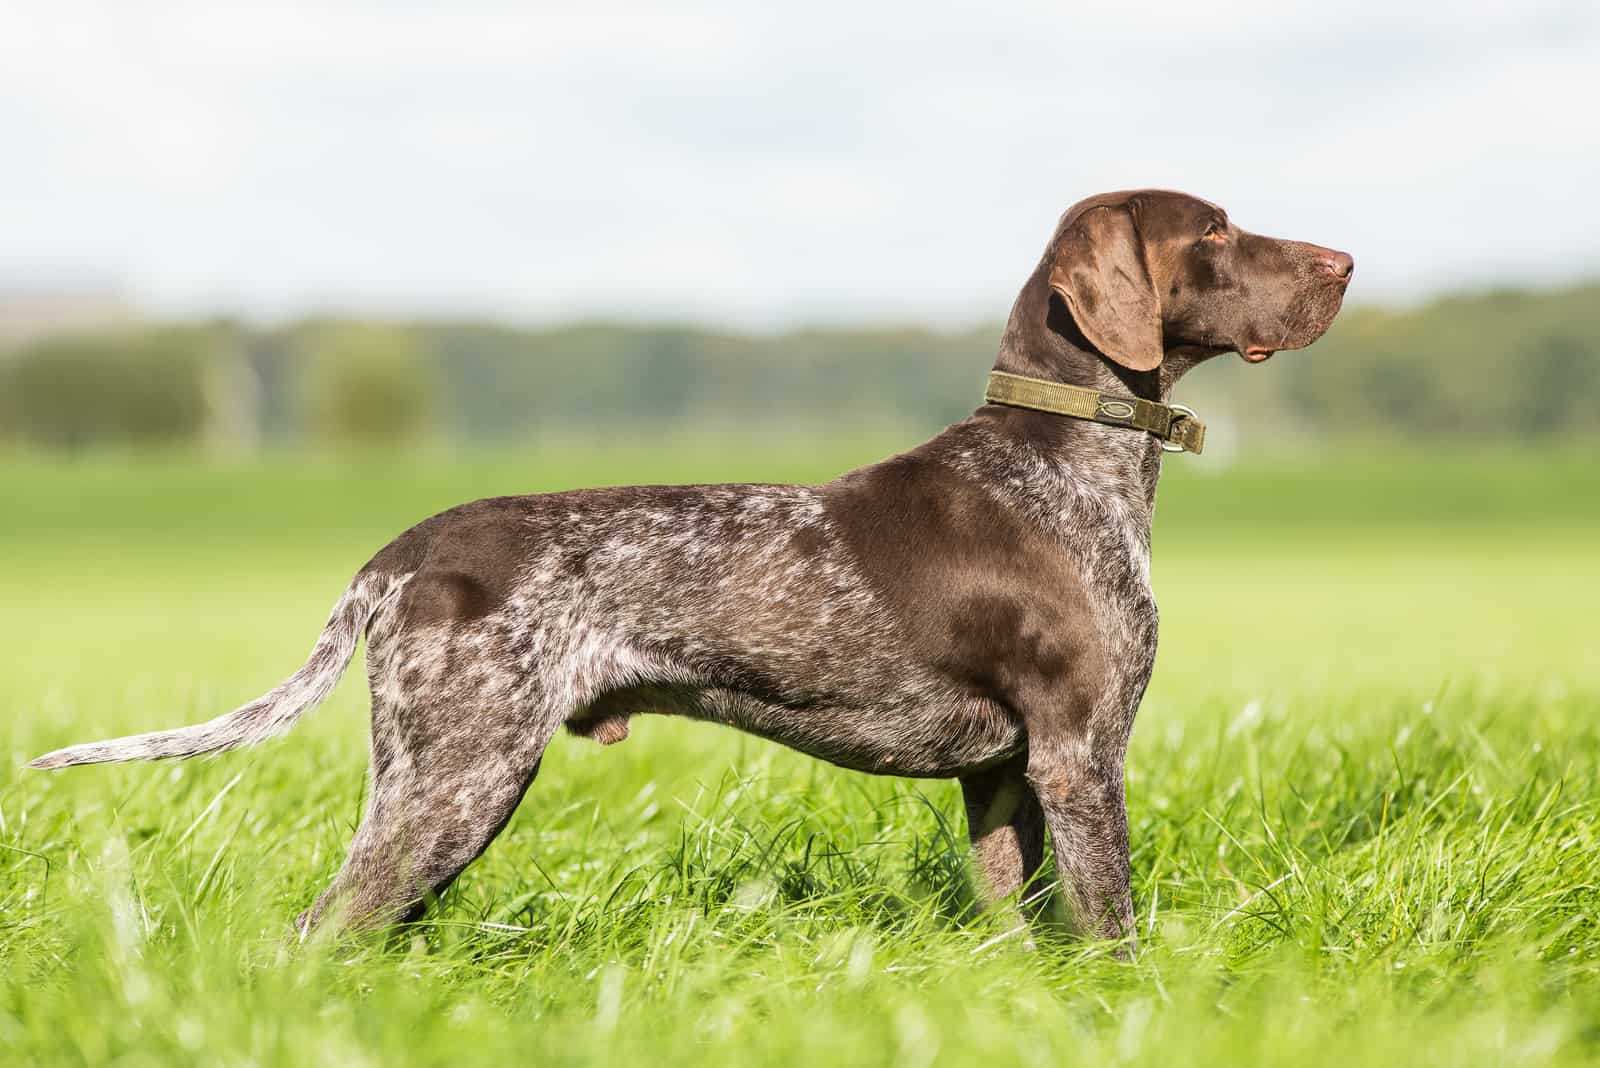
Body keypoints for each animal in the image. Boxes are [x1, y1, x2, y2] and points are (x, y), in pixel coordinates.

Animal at [28, 189, 1350, 940]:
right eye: (1214, 232)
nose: (1342, 261)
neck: (1065, 458)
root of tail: (404, 551)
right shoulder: (1081, 755)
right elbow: (1112, 925)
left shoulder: (1003, 776)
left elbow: (1019, 929)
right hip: (457, 780)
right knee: (320, 933)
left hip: (436, 786)